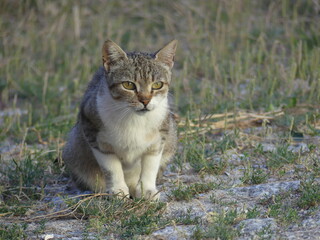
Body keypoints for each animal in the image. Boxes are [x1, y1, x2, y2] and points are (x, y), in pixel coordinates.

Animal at [62, 39, 178, 201]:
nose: (145, 100)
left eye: (157, 84)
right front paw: (118, 190)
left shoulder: (161, 135)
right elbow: (111, 166)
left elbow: (150, 165)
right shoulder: (93, 131)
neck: (134, 119)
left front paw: (146, 190)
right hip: (74, 148)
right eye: (128, 85)